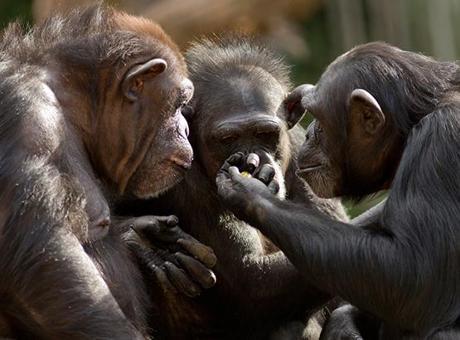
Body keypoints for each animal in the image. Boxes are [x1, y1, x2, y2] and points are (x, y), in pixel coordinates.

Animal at [0, 5, 217, 340]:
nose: (185, 128)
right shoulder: (27, 117)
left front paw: (145, 241)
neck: (71, 104)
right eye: (180, 104)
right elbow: (44, 257)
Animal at [118, 35, 348, 338]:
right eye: (228, 138)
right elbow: (251, 281)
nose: (253, 160)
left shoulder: (305, 151)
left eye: (265, 134)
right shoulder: (186, 183)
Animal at [216, 43, 460, 340]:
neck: (413, 123)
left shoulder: (442, 138)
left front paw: (250, 192)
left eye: (319, 118)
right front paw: (344, 325)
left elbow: (414, 274)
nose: (309, 133)